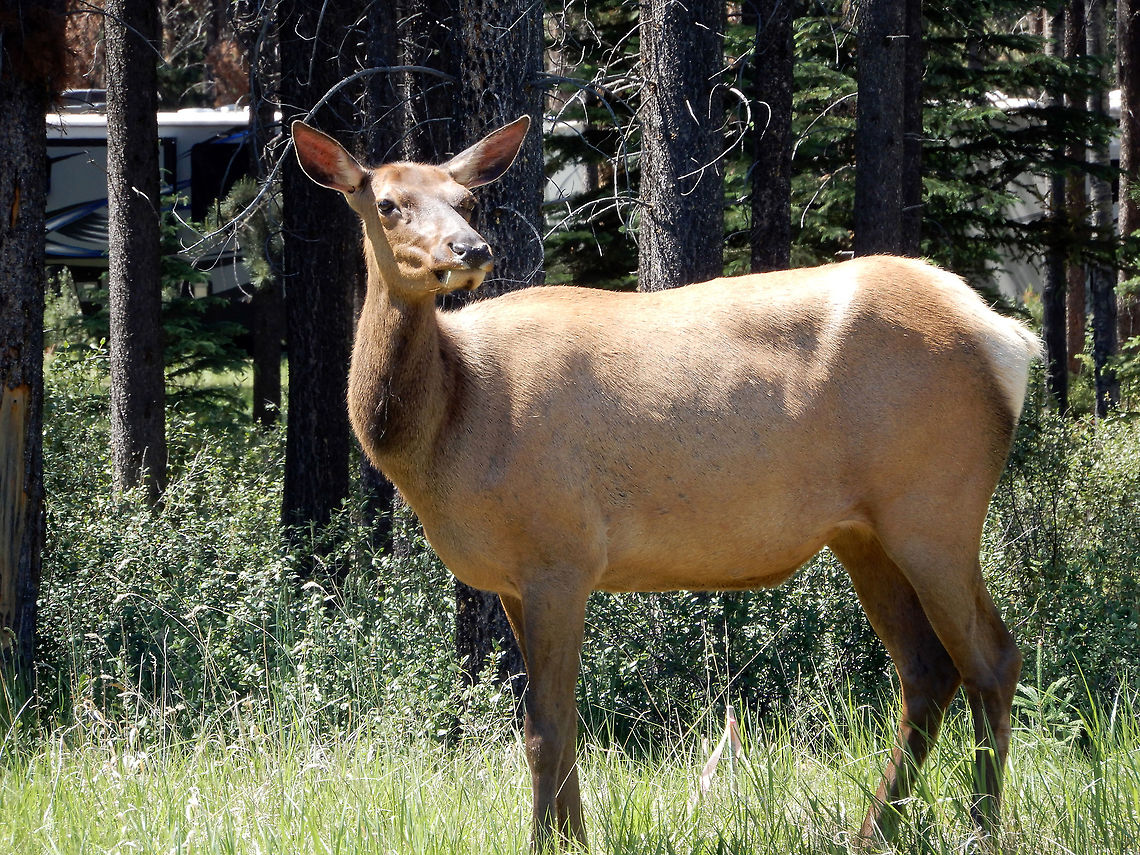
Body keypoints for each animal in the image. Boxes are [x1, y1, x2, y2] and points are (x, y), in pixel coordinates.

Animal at [290, 114, 1041, 851]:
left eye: (466, 200)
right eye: (388, 202)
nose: (470, 249)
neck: (452, 424)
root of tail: (1009, 340)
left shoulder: (561, 553)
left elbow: (547, 728)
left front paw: (552, 840)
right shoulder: (512, 577)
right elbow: (559, 726)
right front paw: (571, 836)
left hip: (935, 506)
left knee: (992, 659)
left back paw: (983, 826)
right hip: (863, 532)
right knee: (928, 670)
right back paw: (871, 832)